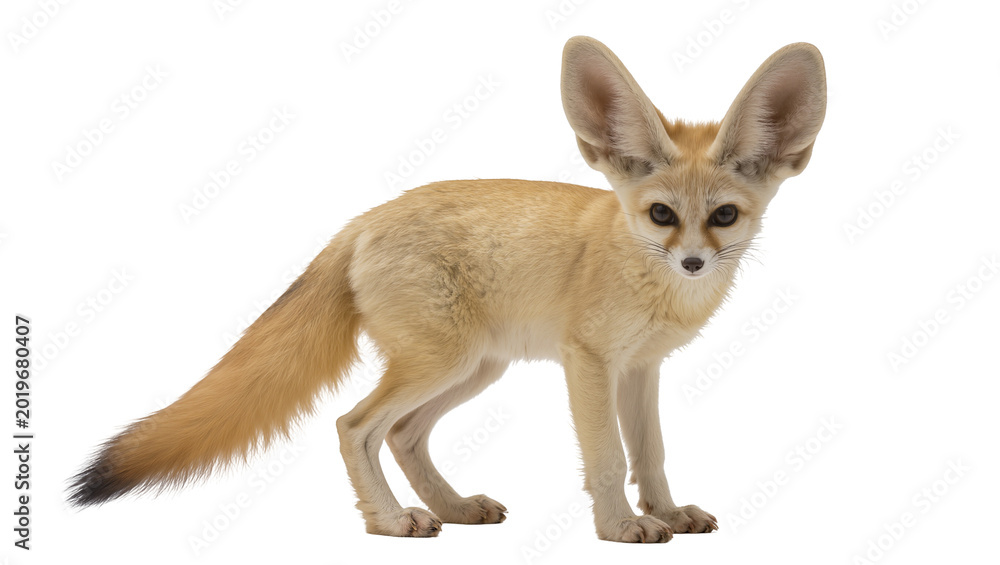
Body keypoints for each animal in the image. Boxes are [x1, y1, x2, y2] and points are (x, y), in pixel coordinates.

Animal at [68, 36, 826, 543]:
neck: (645, 276)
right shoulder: (589, 363)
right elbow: (609, 458)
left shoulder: (642, 368)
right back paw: (390, 521)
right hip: (443, 363)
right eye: (662, 215)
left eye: (723, 217)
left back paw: (454, 509)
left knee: (404, 436)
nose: (694, 263)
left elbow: (653, 455)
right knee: (354, 427)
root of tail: (364, 219)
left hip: (474, 368)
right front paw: (618, 527)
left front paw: (666, 512)